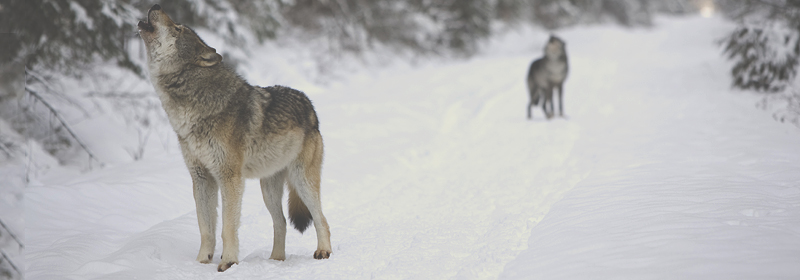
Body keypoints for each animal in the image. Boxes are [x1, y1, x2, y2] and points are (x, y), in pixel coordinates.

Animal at [139, 3, 332, 272]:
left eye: (177, 29)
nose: (156, 5)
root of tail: (309, 106)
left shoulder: (229, 177)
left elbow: (227, 227)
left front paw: (228, 262)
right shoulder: (201, 178)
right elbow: (206, 228)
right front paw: (202, 262)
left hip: (301, 180)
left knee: (321, 218)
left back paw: (323, 251)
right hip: (268, 189)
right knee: (281, 222)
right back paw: (276, 260)